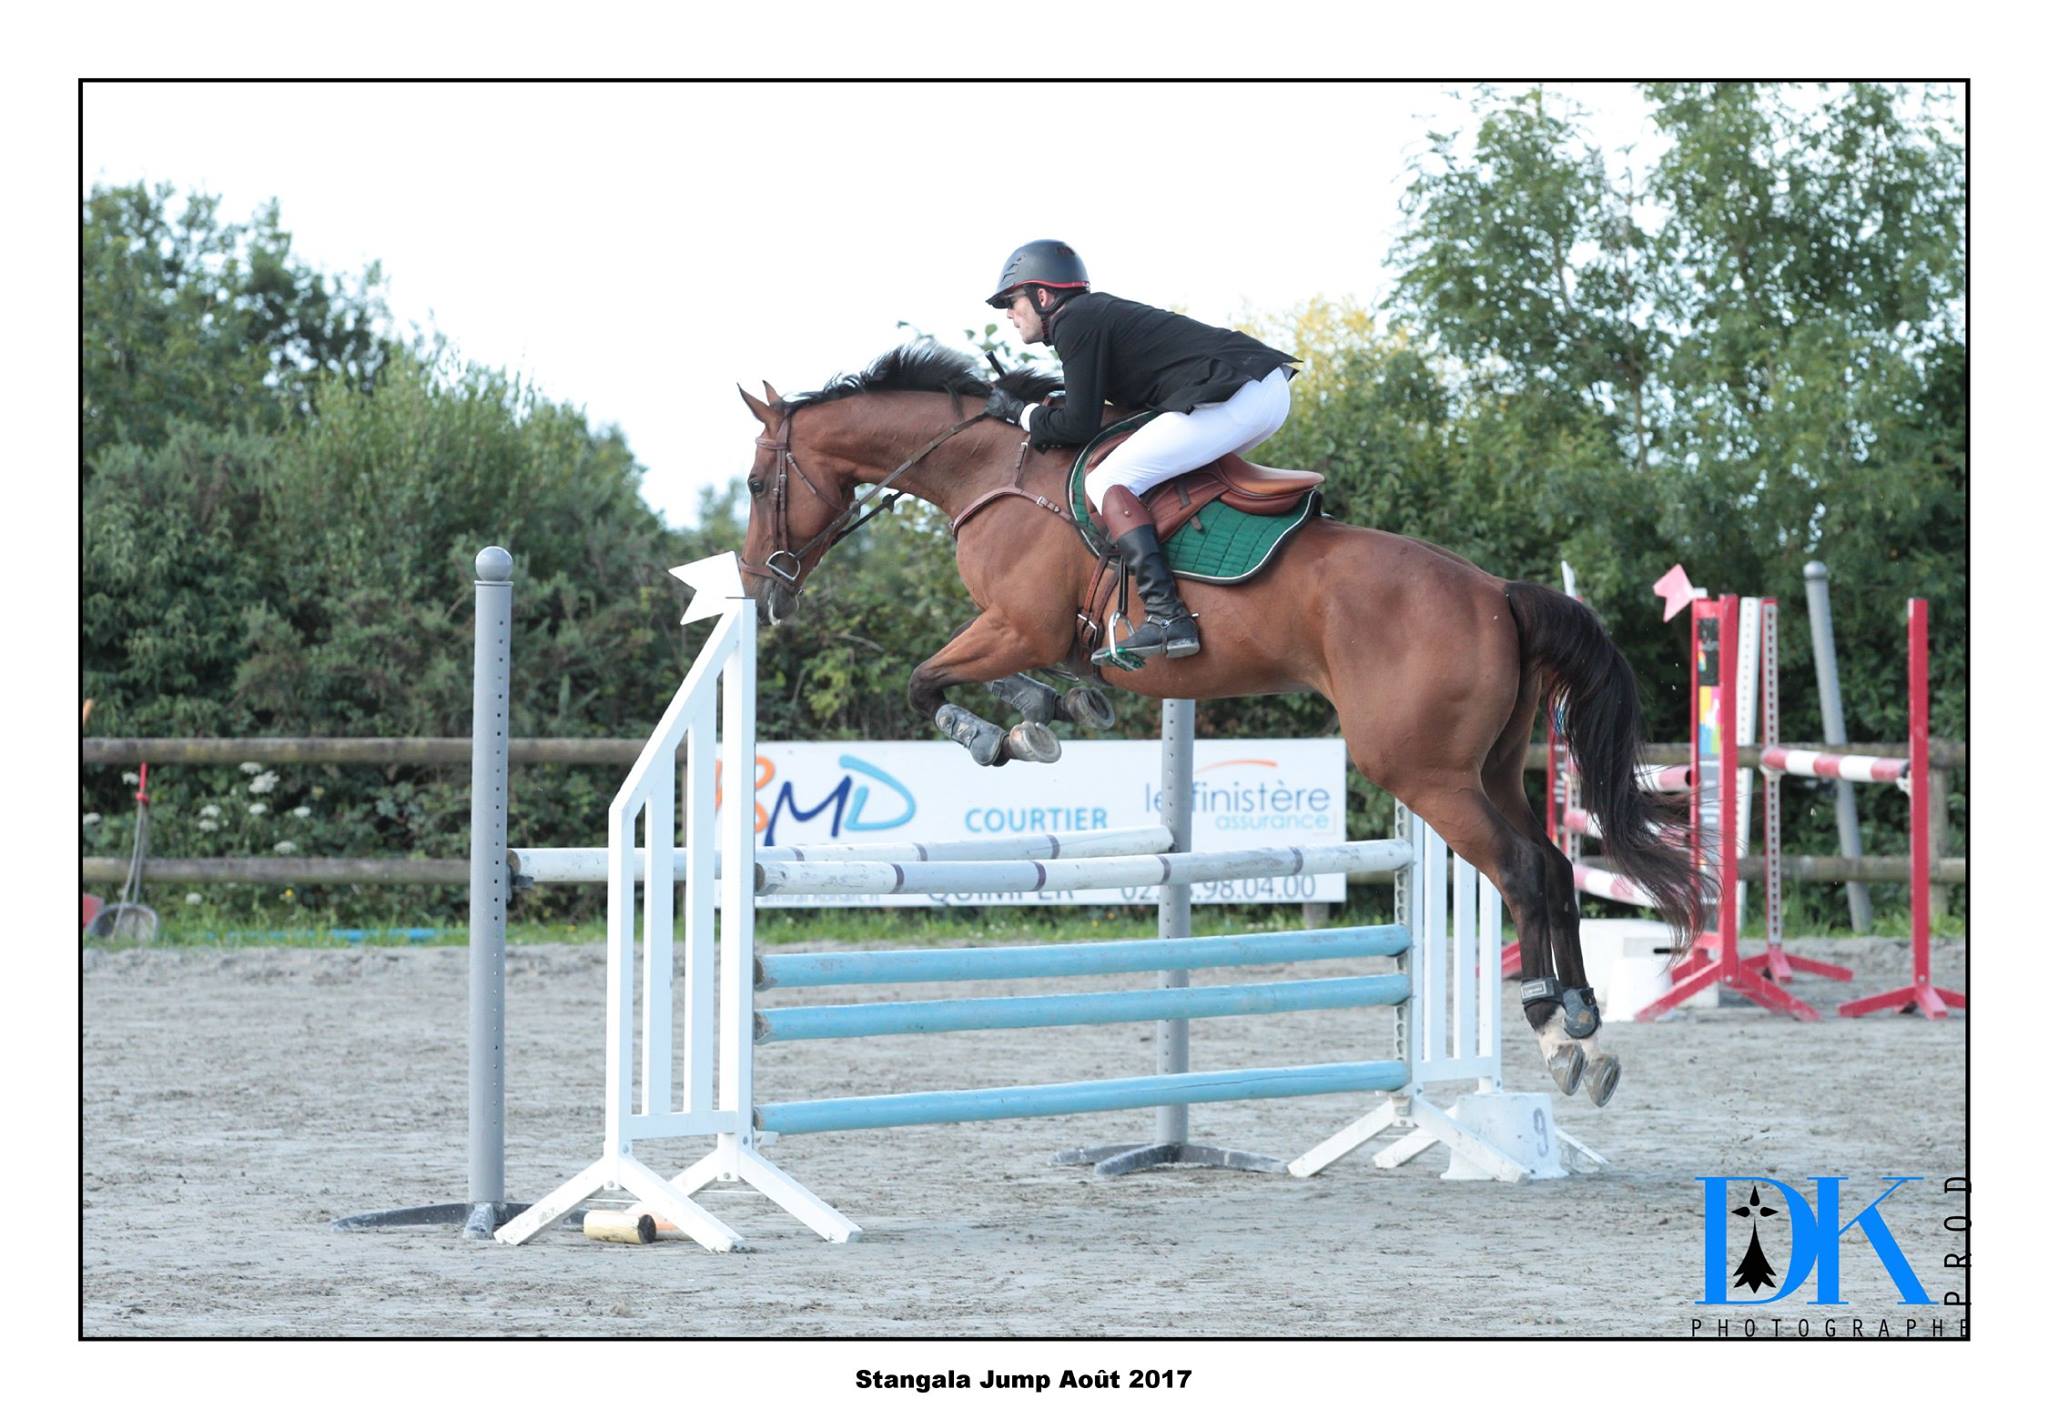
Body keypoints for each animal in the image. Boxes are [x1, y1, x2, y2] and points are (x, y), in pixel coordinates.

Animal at [729, 337, 1703, 1097]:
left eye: (754, 480)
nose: (758, 589)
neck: (990, 473)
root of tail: (1496, 590)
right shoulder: (1030, 633)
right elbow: (1001, 680)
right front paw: (1054, 705)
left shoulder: (1016, 624)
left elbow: (924, 682)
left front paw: (1003, 731)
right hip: (1491, 766)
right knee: (1553, 863)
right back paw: (1585, 1021)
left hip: (1422, 772)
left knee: (1522, 872)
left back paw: (1552, 1028)